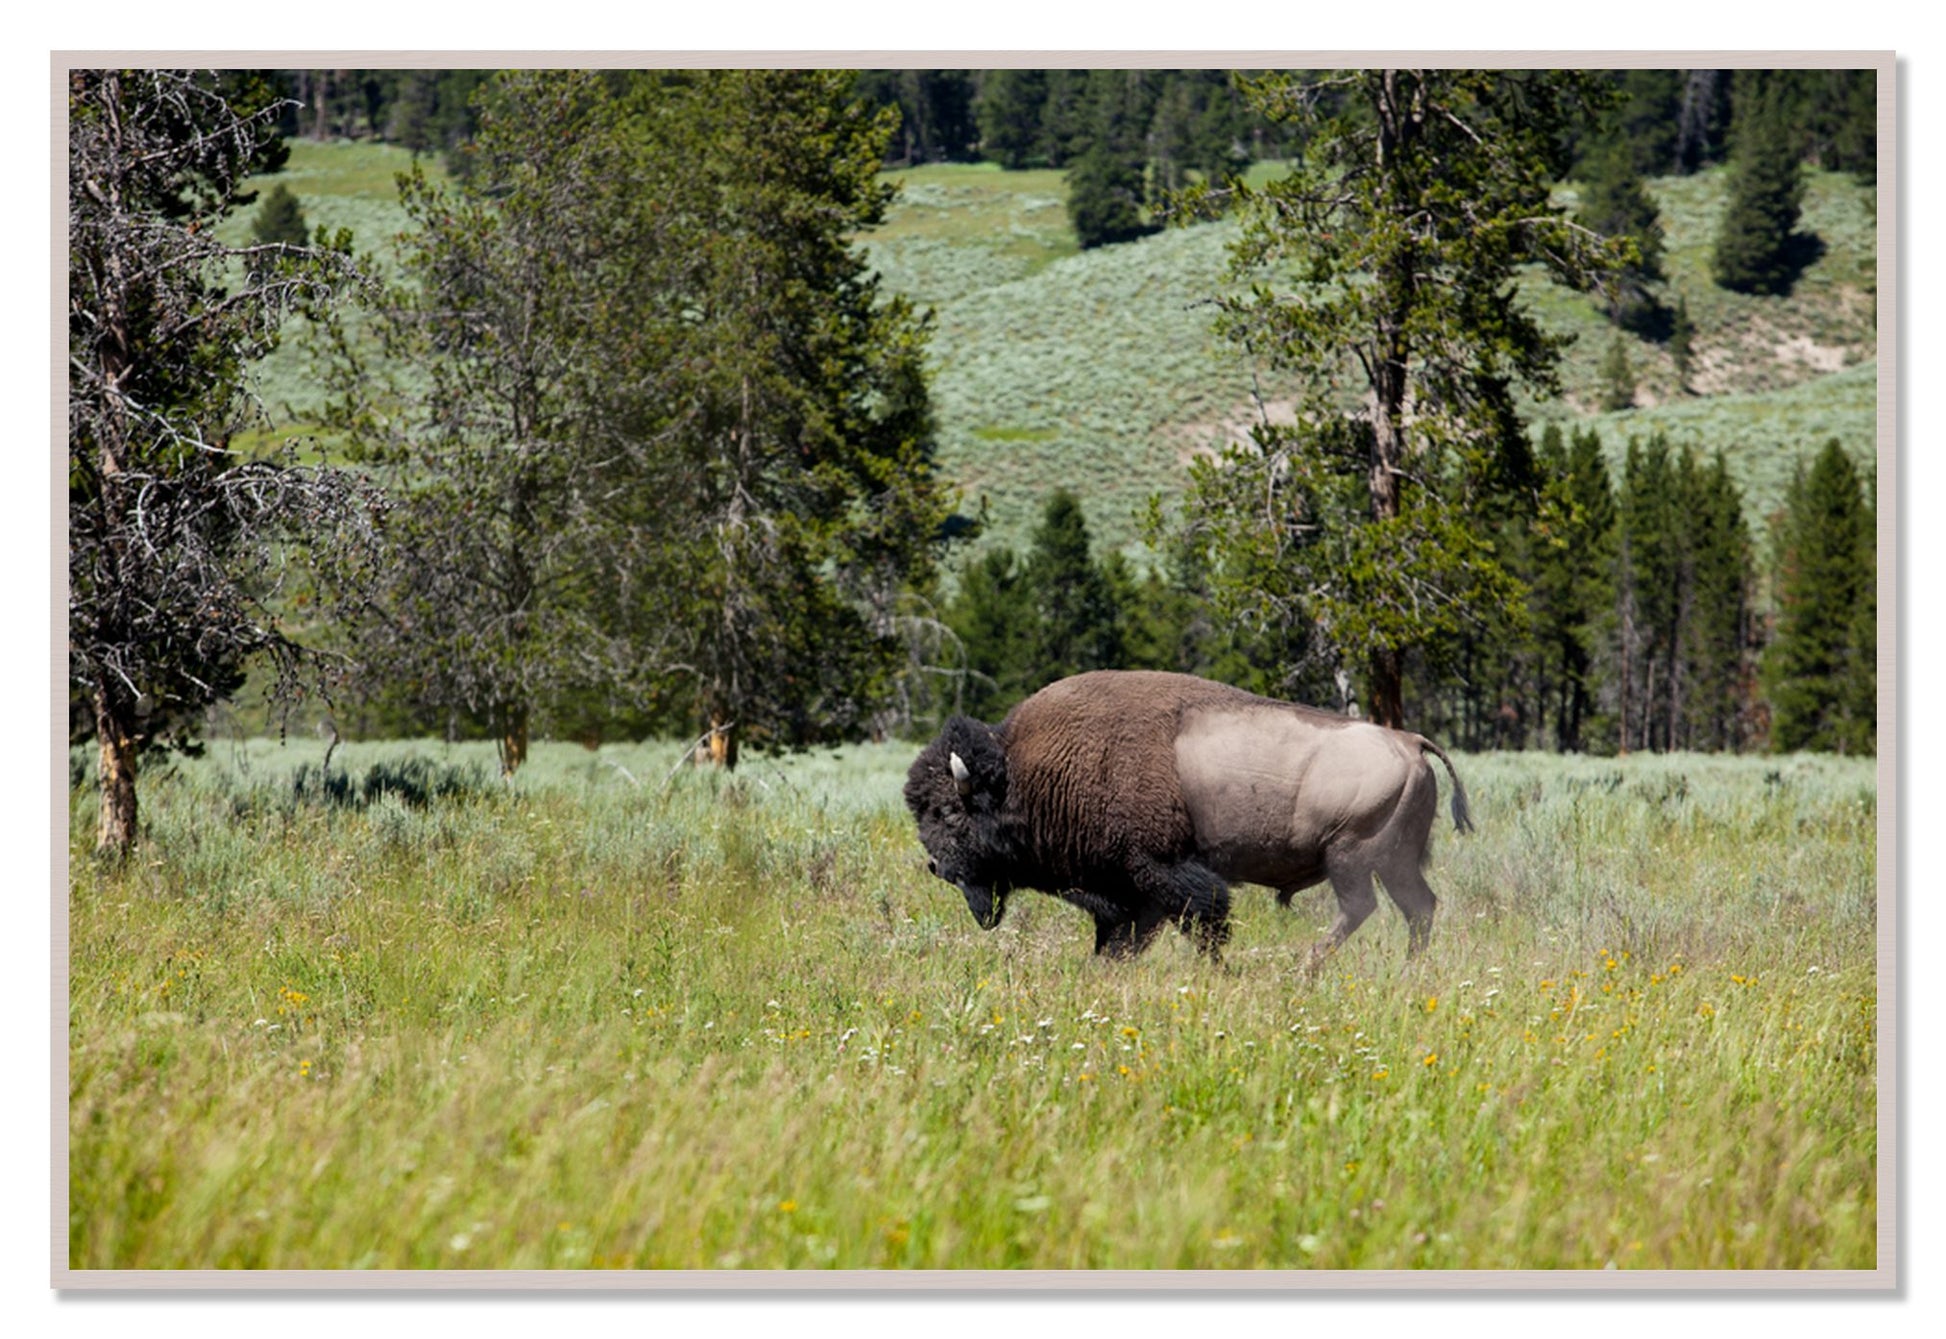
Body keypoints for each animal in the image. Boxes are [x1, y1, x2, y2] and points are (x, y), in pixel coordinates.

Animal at [904, 670, 1472, 969]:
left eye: (949, 812)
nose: (936, 866)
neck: (1025, 773)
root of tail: (1409, 742)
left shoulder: (1162, 872)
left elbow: (1204, 921)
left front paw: (1217, 970)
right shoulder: (1129, 892)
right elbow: (1122, 938)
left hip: (1350, 856)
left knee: (1361, 907)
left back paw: (1305, 967)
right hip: (1394, 862)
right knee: (1418, 907)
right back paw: (1408, 968)